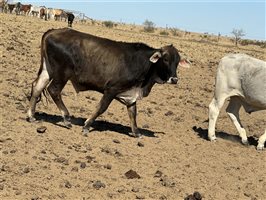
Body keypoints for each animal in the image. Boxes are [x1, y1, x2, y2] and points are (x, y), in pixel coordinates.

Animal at [27, 28, 183, 138]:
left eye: (177, 61)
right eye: (165, 59)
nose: (174, 79)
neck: (143, 64)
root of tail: (52, 32)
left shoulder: (131, 94)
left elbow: (133, 113)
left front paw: (137, 132)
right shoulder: (111, 90)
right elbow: (101, 108)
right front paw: (87, 126)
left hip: (47, 70)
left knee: (37, 87)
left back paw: (31, 116)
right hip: (61, 74)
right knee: (54, 91)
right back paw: (66, 118)